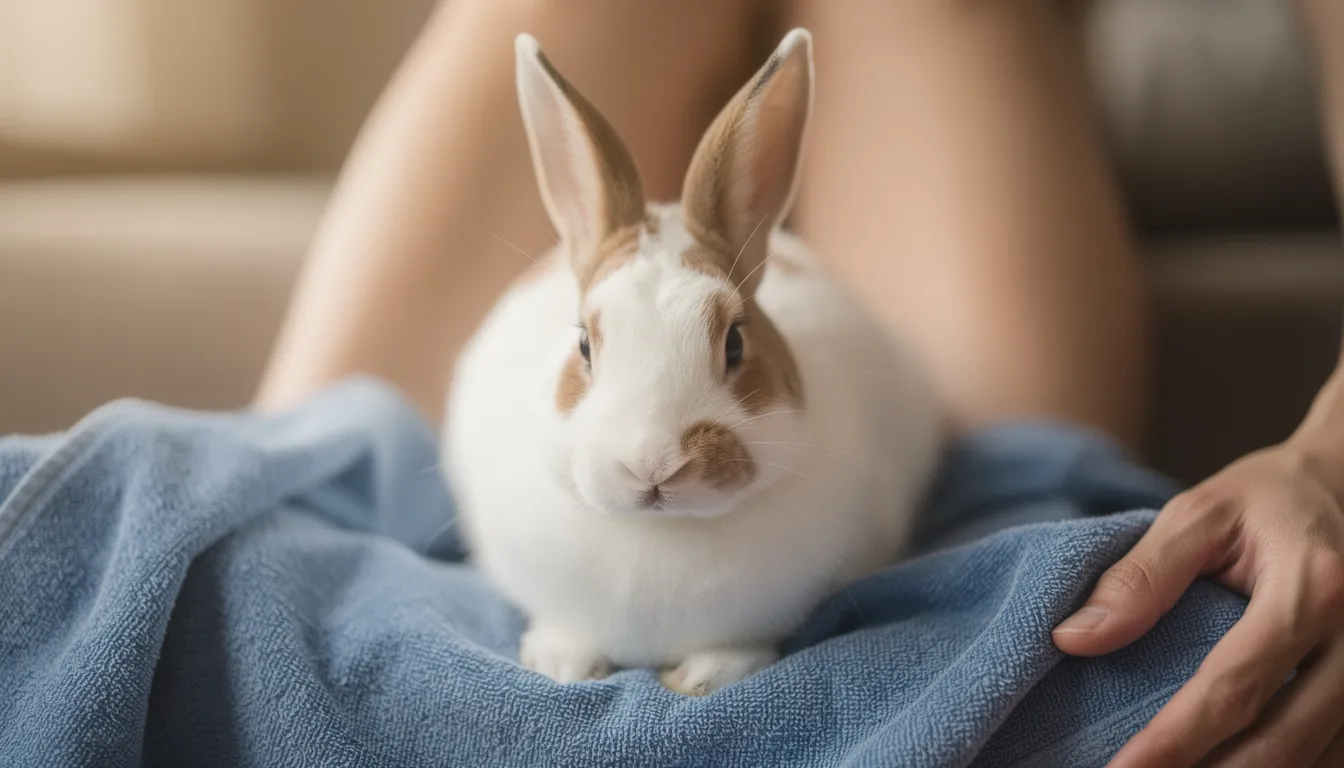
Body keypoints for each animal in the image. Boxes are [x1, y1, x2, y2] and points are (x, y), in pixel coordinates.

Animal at [442, 28, 942, 696]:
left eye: (734, 343)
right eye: (584, 345)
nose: (652, 464)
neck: (663, 534)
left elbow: (739, 646)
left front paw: (706, 676)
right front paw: (561, 664)